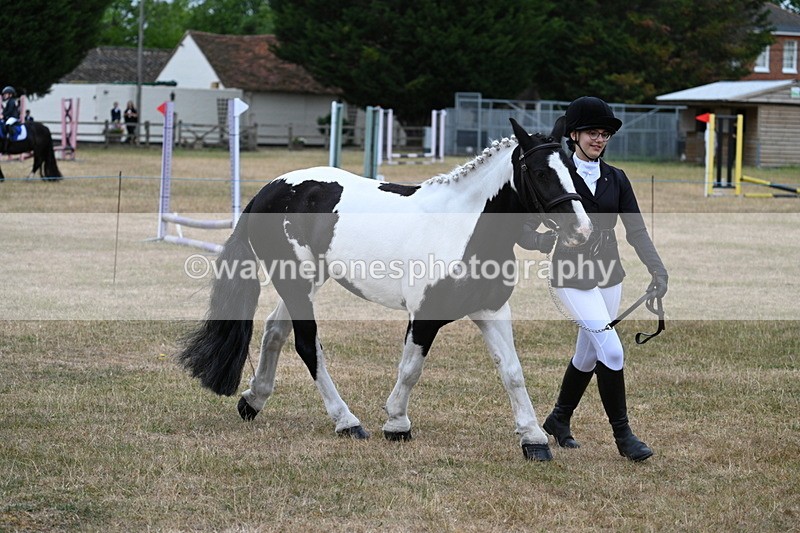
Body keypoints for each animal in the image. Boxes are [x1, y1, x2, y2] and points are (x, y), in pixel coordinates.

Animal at [177, 117, 593, 461]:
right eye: (540, 172)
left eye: (574, 169)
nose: (581, 231)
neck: (464, 227)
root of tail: (268, 191)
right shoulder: (425, 315)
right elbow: (411, 368)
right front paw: (396, 424)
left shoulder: (491, 310)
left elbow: (512, 371)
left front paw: (534, 439)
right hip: (295, 281)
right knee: (307, 345)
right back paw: (347, 421)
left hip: (305, 281)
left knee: (274, 331)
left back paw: (253, 401)